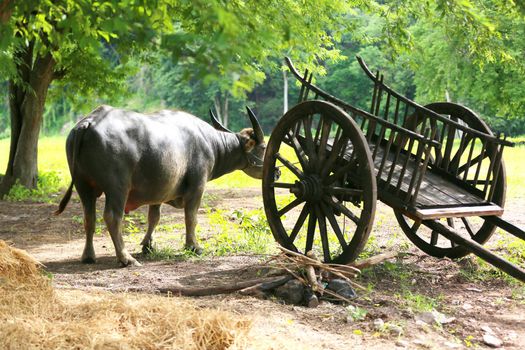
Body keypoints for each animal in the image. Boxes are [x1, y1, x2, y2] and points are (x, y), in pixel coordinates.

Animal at [56, 105, 266, 266]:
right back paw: (126, 258)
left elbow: (154, 217)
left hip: (83, 186)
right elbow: (191, 217)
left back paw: (88, 256)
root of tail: (88, 122)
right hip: (117, 187)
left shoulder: (157, 191)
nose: (273, 170)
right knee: (112, 217)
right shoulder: (197, 186)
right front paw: (194, 246)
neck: (211, 143)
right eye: (263, 147)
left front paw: (148, 245)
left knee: (89, 218)